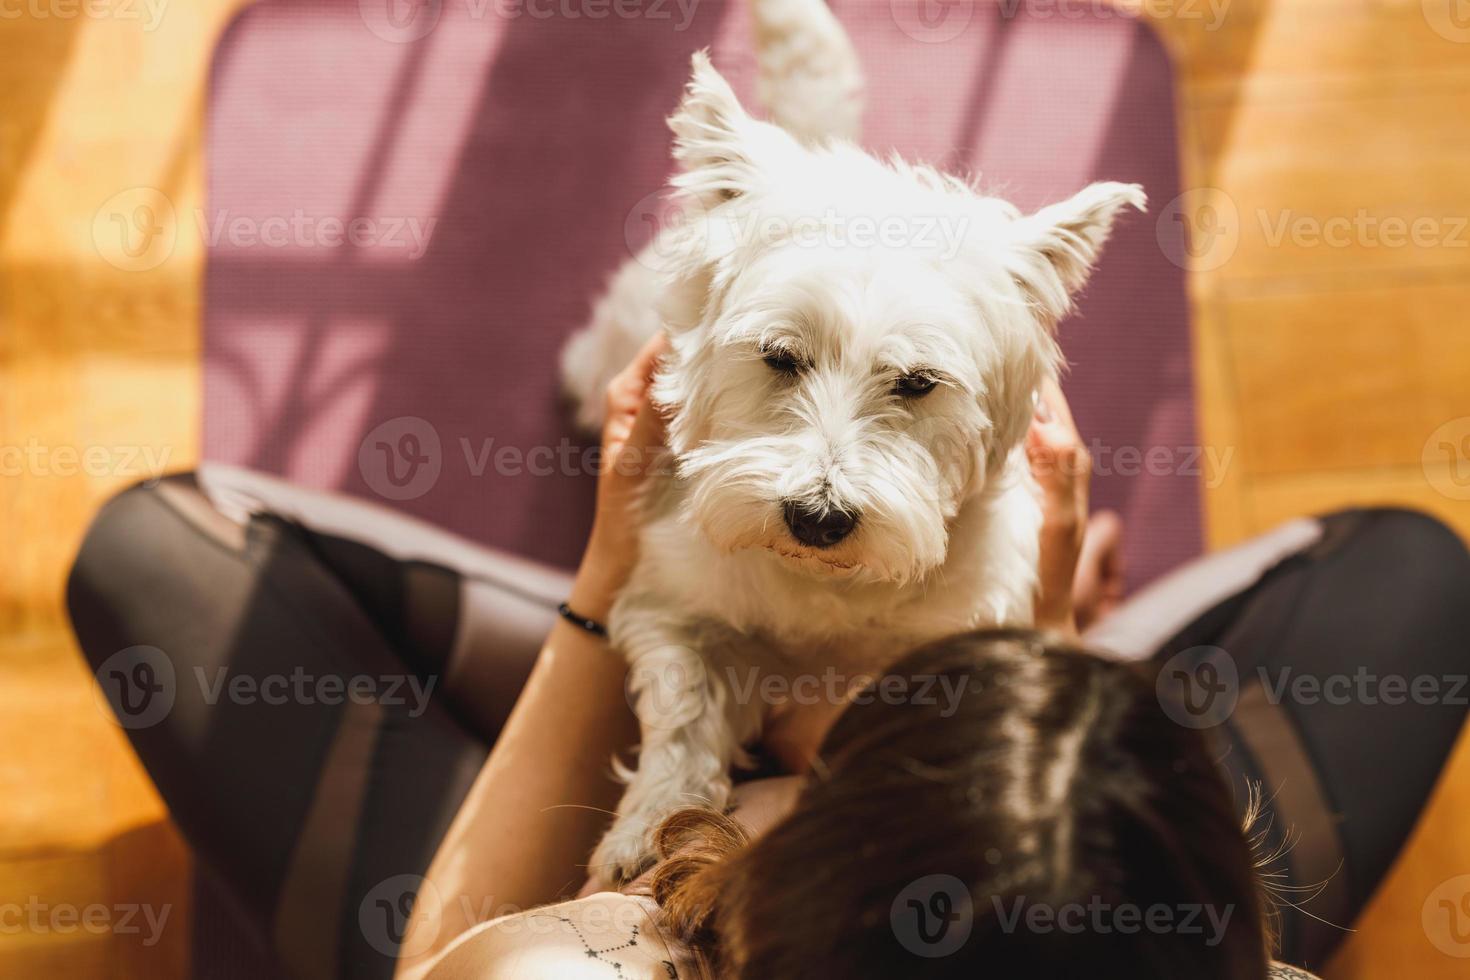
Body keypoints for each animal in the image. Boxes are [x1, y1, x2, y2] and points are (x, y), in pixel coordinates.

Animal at [555, 0, 1140, 881]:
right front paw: (645, 831)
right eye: (778, 357)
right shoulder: (675, 595)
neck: (824, 586)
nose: (817, 518)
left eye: (918, 382)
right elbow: (684, 713)